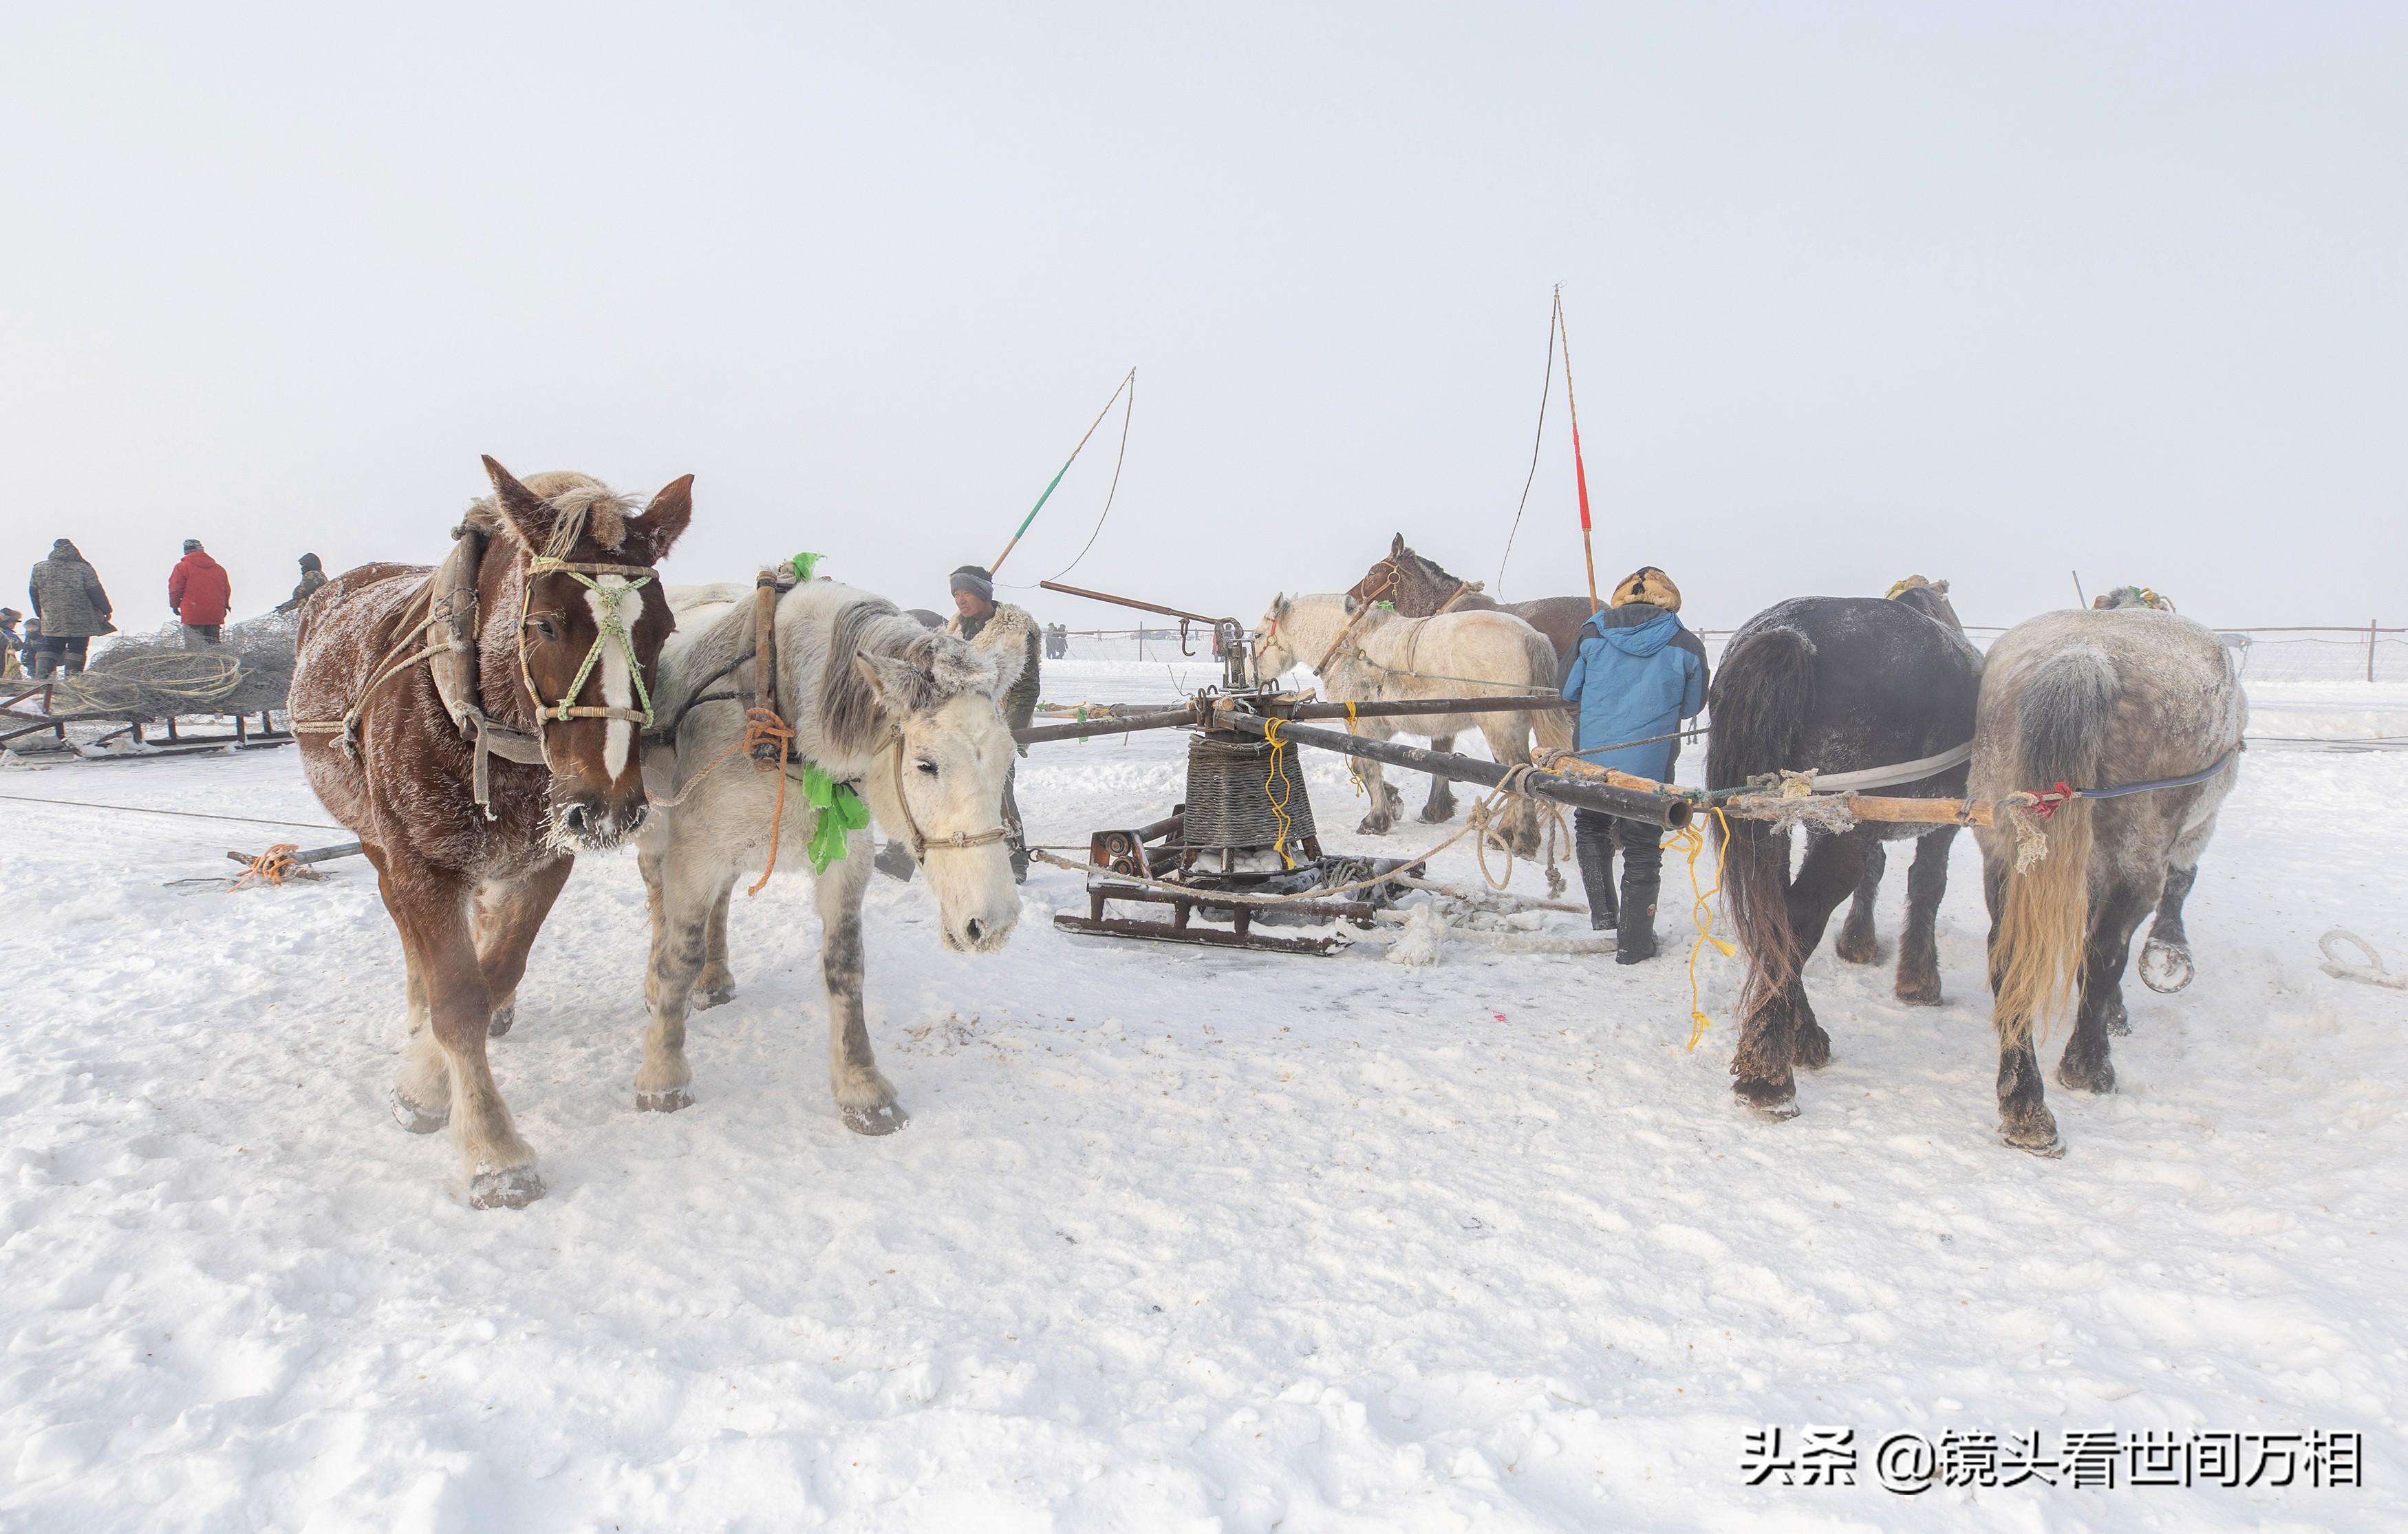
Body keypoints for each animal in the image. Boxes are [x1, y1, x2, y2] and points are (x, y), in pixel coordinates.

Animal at [289, 457, 698, 1209]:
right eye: (545, 625)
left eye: (662, 628)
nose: (609, 808)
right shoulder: (419, 864)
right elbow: (456, 998)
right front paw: (486, 1144)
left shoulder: (546, 858)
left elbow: (499, 965)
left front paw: (435, 1072)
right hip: (377, 842)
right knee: (405, 928)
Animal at [636, 580, 1021, 1132]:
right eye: (926, 765)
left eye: (1009, 758)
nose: (997, 923)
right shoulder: (695, 855)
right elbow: (678, 957)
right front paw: (663, 1077)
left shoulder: (846, 858)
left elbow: (846, 964)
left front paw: (862, 1089)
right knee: (657, 900)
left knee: (722, 901)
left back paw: (716, 980)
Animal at [1252, 592, 1570, 857]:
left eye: (1256, 635)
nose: (1251, 675)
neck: (1351, 646)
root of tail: (1531, 634)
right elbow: (1381, 767)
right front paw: (1406, 804)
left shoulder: (1362, 728)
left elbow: (1367, 767)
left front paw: (1377, 819)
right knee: (1513, 775)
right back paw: (1505, 833)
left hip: (1499, 727)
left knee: (1518, 776)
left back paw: (1522, 839)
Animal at [1714, 590, 1975, 1112]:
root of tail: (1789, 632)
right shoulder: (1941, 825)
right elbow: (1928, 885)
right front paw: (1919, 981)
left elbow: (1876, 875)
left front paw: (1859, 943)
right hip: (1840, 832)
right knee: (1800, 914)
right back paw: (1768, 1070)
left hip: (1774, 822)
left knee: (1777, 918)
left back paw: (1799, 1036)